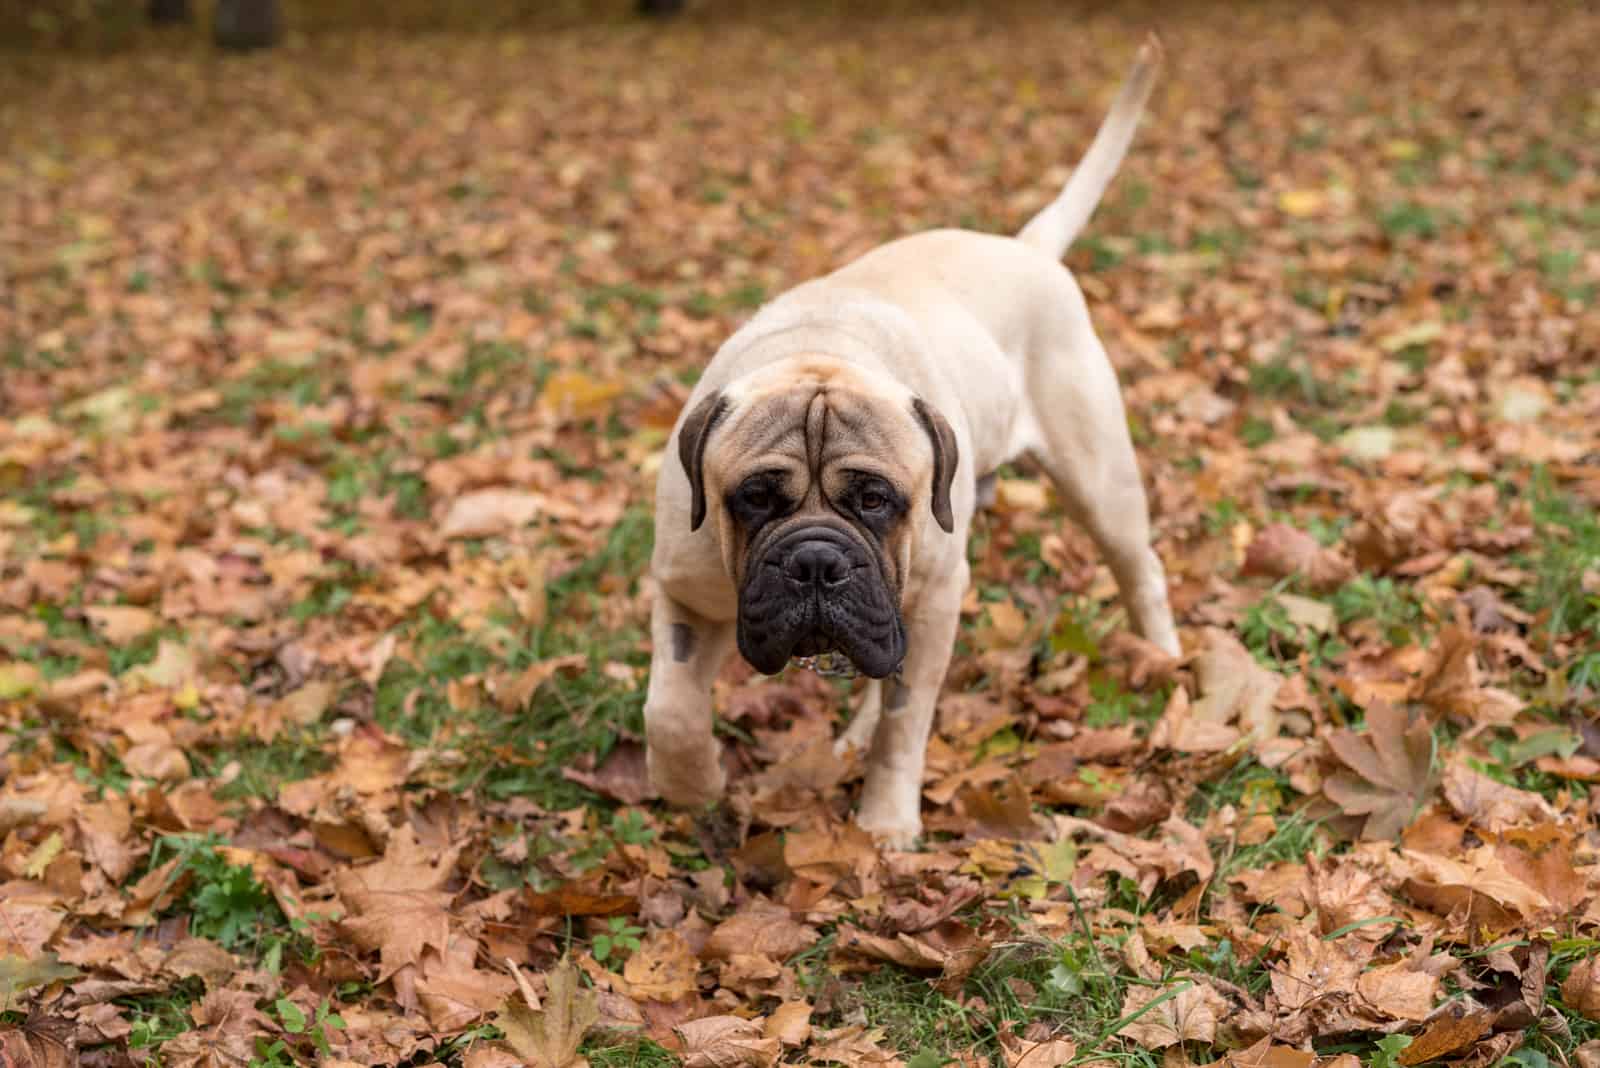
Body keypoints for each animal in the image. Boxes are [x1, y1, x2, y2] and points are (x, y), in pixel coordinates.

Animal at [643, 39, 1184, 844]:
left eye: (876, 500)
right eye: (754, 499)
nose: (814, 561)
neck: (819, 350)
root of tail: (1026, 249)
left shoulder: (934, 601)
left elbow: (908, 721)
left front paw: (884, 824)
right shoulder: (685, 591)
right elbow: (670, 709)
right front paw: (693, 785)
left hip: (1099, 484)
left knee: (1140, 568)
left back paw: (1166, 659)